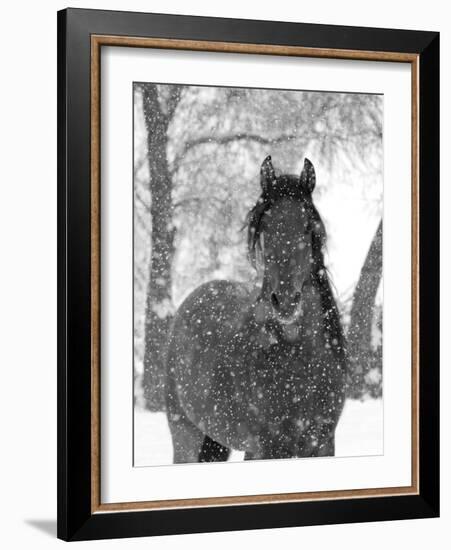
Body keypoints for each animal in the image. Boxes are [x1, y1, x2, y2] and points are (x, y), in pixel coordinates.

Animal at [165, 156, 346, 466]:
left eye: (308, 227)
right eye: (266, 228)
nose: (285, 302)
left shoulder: (322, 444)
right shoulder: (269, 448)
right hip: (186, 436)